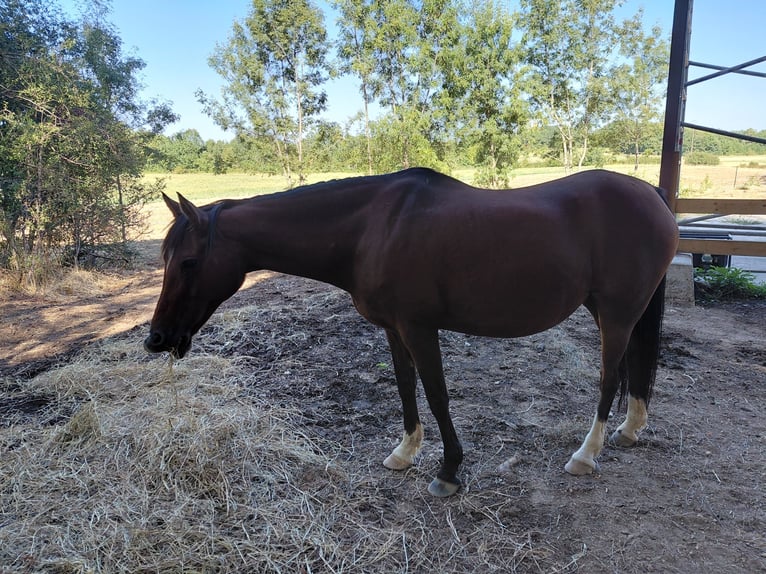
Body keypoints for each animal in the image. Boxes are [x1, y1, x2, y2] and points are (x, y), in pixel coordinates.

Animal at [145, 167, 679, 497]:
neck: (373, 228)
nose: (156, 340)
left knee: (610, 377)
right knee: (635, 366)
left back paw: (586, 455)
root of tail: (651, 195)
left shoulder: (420, 328)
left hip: (614, 314)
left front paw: (448, 471)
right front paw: (403, 453)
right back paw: (630, 430)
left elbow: (437, 395)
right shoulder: (393, 329)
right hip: (621, 313)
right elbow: (405, 388)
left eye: (188, 261)